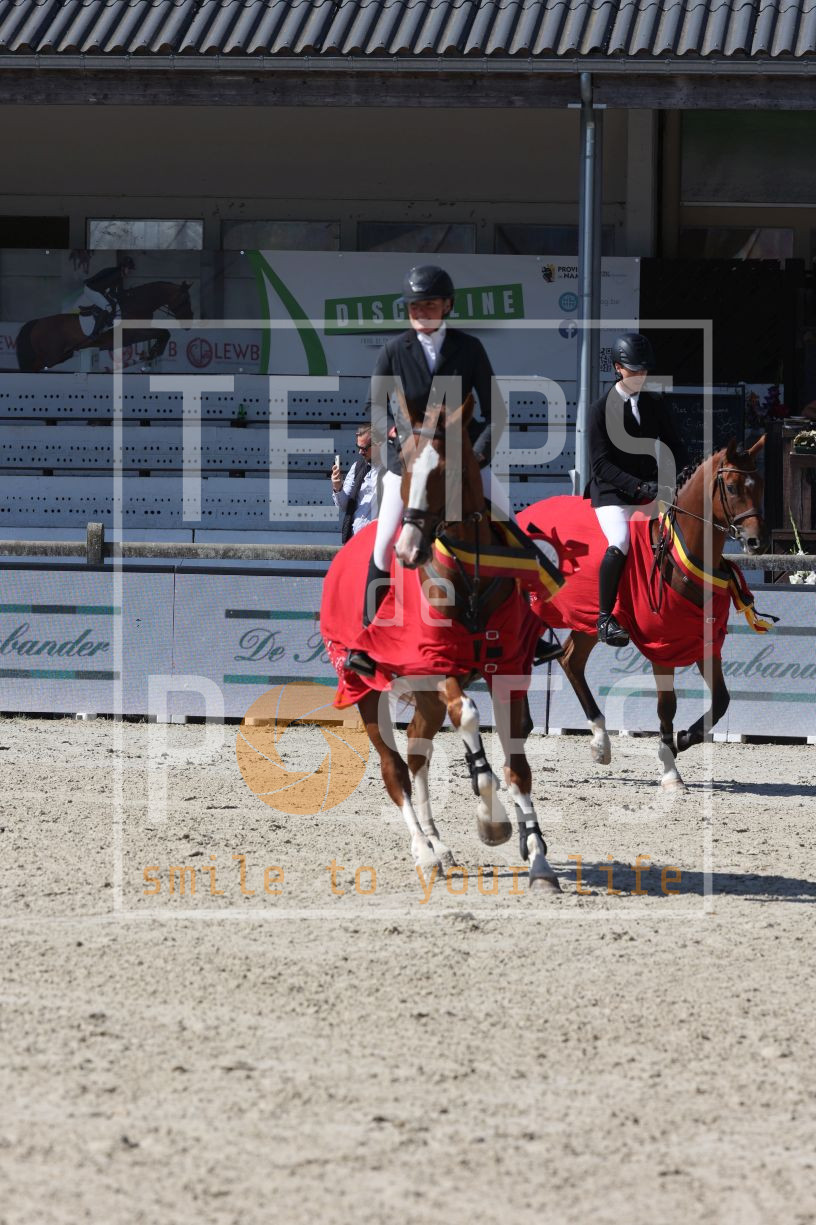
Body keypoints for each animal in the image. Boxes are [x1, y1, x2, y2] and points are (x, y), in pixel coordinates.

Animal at [15, 280, 194, 371]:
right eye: (185, 299)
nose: (189, 322)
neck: (137, 304)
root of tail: (37, 322)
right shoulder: (133, 334)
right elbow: (163, 332)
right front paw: (155, 351)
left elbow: (162, 332)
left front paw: (152, 353)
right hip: (51, 356)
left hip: (60, 354)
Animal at [320, 397, 563, 892]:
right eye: (405, 468)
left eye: (449, 472)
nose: (409, 551)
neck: (468, 574)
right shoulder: (435, 664)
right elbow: (468, 718)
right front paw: (492, 820)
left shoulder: (510, 669)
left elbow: (517, 768)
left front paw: (539, 860)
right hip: (367, 690)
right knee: (395, 769)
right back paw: (424, 852)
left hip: (425, 698)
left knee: (417, 754)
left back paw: (438, 844)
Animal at [518, 437, 769, 790]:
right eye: (732, 487)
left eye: (759, 484)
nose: (757, 541)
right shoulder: (661, 647)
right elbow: (667, 705)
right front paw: (670, 769)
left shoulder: (705, 643)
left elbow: (721, 701)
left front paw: (682, 740)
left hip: (587, 621)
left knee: (570, 660)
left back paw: (599, 743)